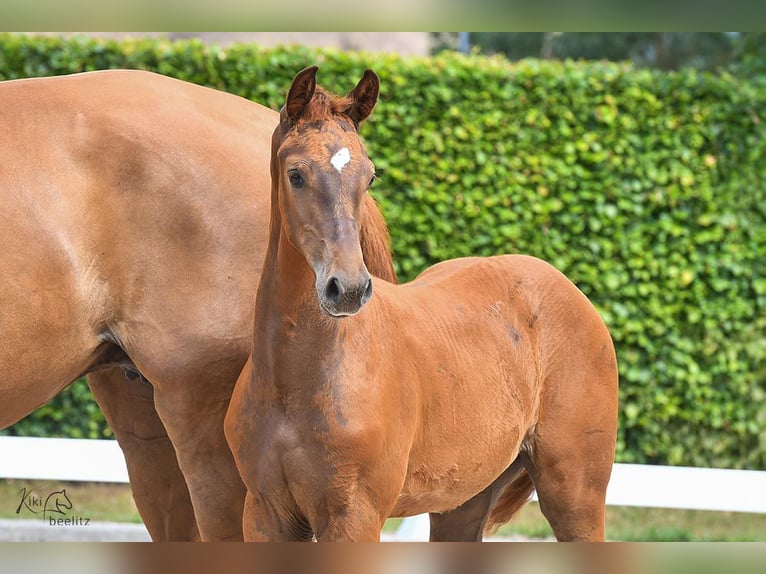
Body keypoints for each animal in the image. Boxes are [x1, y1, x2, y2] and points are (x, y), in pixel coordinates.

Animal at [225, 68, 620, 544]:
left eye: (370, 177)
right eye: (296, 174)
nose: (349, 288)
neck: (297, 377)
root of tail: (570, 291)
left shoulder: (355, 516)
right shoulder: (265, 514)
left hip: (575, 494)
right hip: (463, 502)